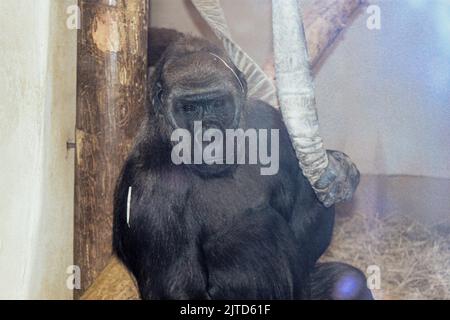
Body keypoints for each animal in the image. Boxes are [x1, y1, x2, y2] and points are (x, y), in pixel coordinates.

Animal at [113, 28, 372, 300]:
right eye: (190, 108)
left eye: (217, 104)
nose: (209, 136)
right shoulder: (149, 191)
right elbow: (177, 289)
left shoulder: (271, 124)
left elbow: (305, 248)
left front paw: (338, 173)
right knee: (254, 232)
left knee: (347, 283)